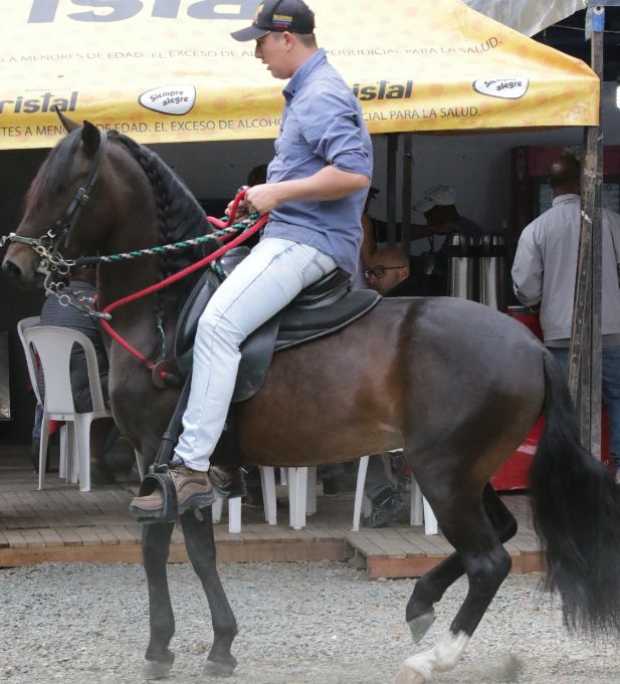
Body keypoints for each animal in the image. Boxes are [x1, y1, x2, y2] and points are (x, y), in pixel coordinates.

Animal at [4, 119, 620, 684]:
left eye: (63, 186)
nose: (15, 263)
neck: (167, 307)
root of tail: (531, 347)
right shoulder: (184, 463)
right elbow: (197, 550)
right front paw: (218, 644)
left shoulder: (161, 453)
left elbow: (162, 546)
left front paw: (165, 648)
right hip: (468, 470)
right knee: (504, 532)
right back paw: (421, 601)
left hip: (442, 473)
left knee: (490, 559)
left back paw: (435, 655)